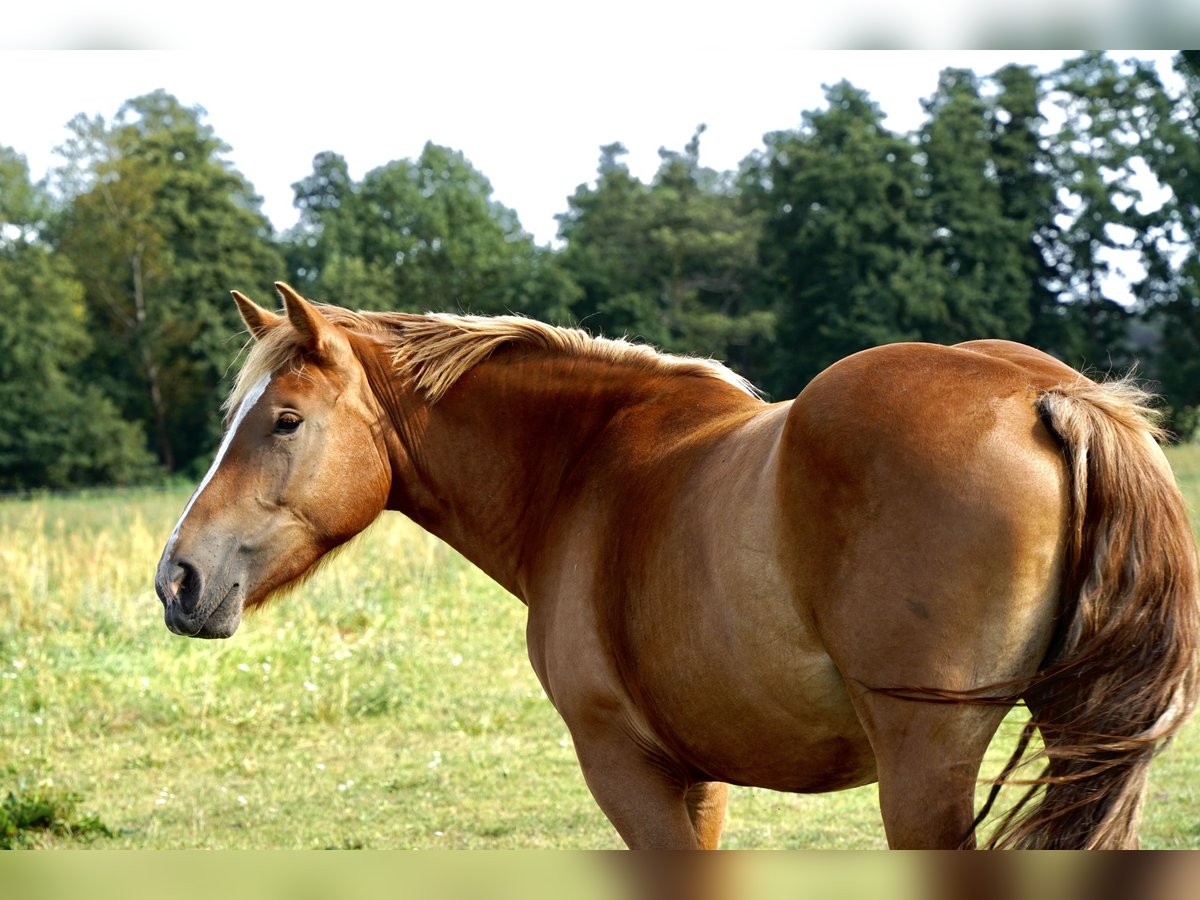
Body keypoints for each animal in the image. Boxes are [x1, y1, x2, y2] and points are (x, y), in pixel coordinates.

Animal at [155, 282, 1199, 849]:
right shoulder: (702, 779)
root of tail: (1044, 396)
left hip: (924, 767)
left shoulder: (625, 765)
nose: (178, 579)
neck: (584, 467)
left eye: (284, 421)